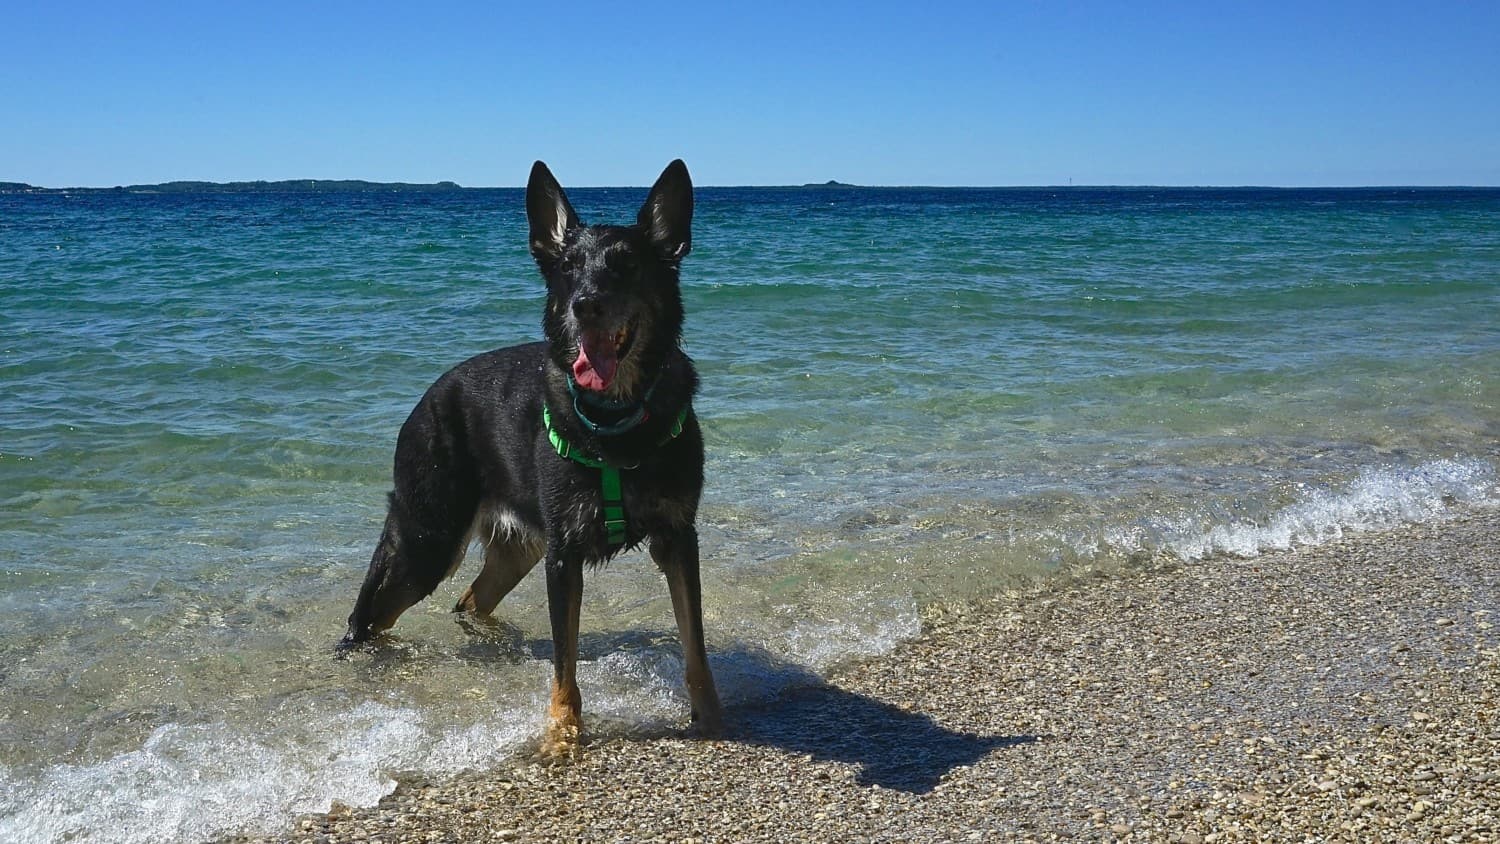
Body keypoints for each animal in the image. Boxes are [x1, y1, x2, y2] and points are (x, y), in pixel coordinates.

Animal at [346, 160, 732, 758]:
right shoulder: (563, 555)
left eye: (626, 265)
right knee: (368, 616)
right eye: (569, 268)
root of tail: (427, 398)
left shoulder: (677, 537)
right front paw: (563, 732)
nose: (585, 304)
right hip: (427, 539)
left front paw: (709, 715)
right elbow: (564, 661)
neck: (616, 421)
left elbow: (695, 643)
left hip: (514, 548)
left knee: (469, 602)